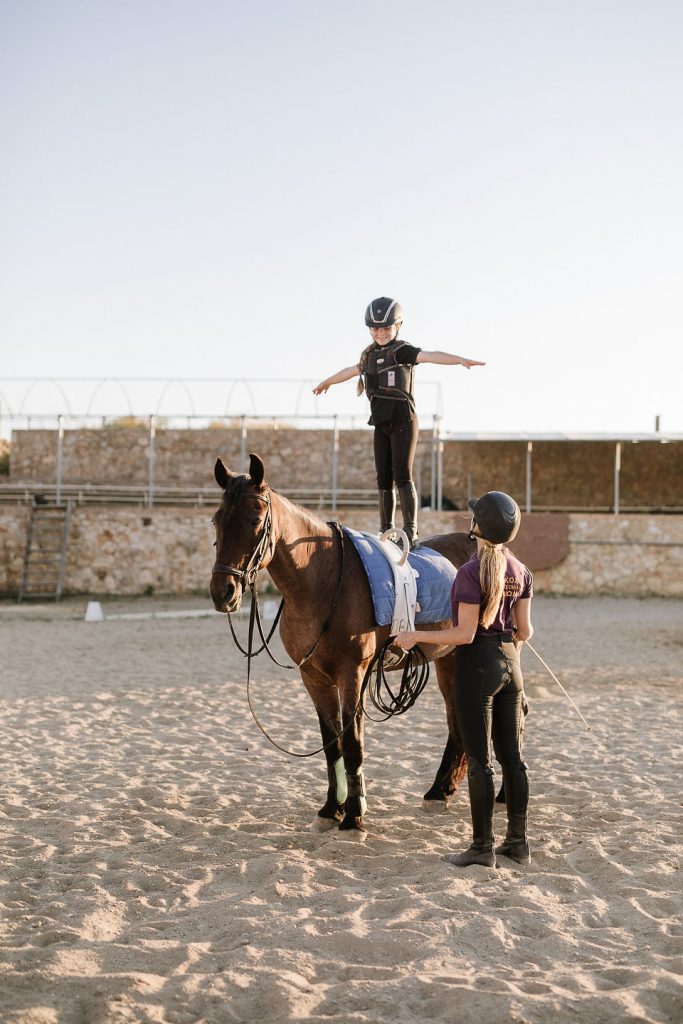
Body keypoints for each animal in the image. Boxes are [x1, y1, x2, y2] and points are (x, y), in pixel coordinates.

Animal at [209, 454, 475, 831]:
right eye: (217, 520)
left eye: (255, 520)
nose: (223, 592)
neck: (321, 580)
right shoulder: (314, 677)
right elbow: (332, 742)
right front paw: (332, 808)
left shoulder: (352, 673)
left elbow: (351, 742)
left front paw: (353, 814)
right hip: (448, 660)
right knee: (456, 721)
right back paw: (440, 791)